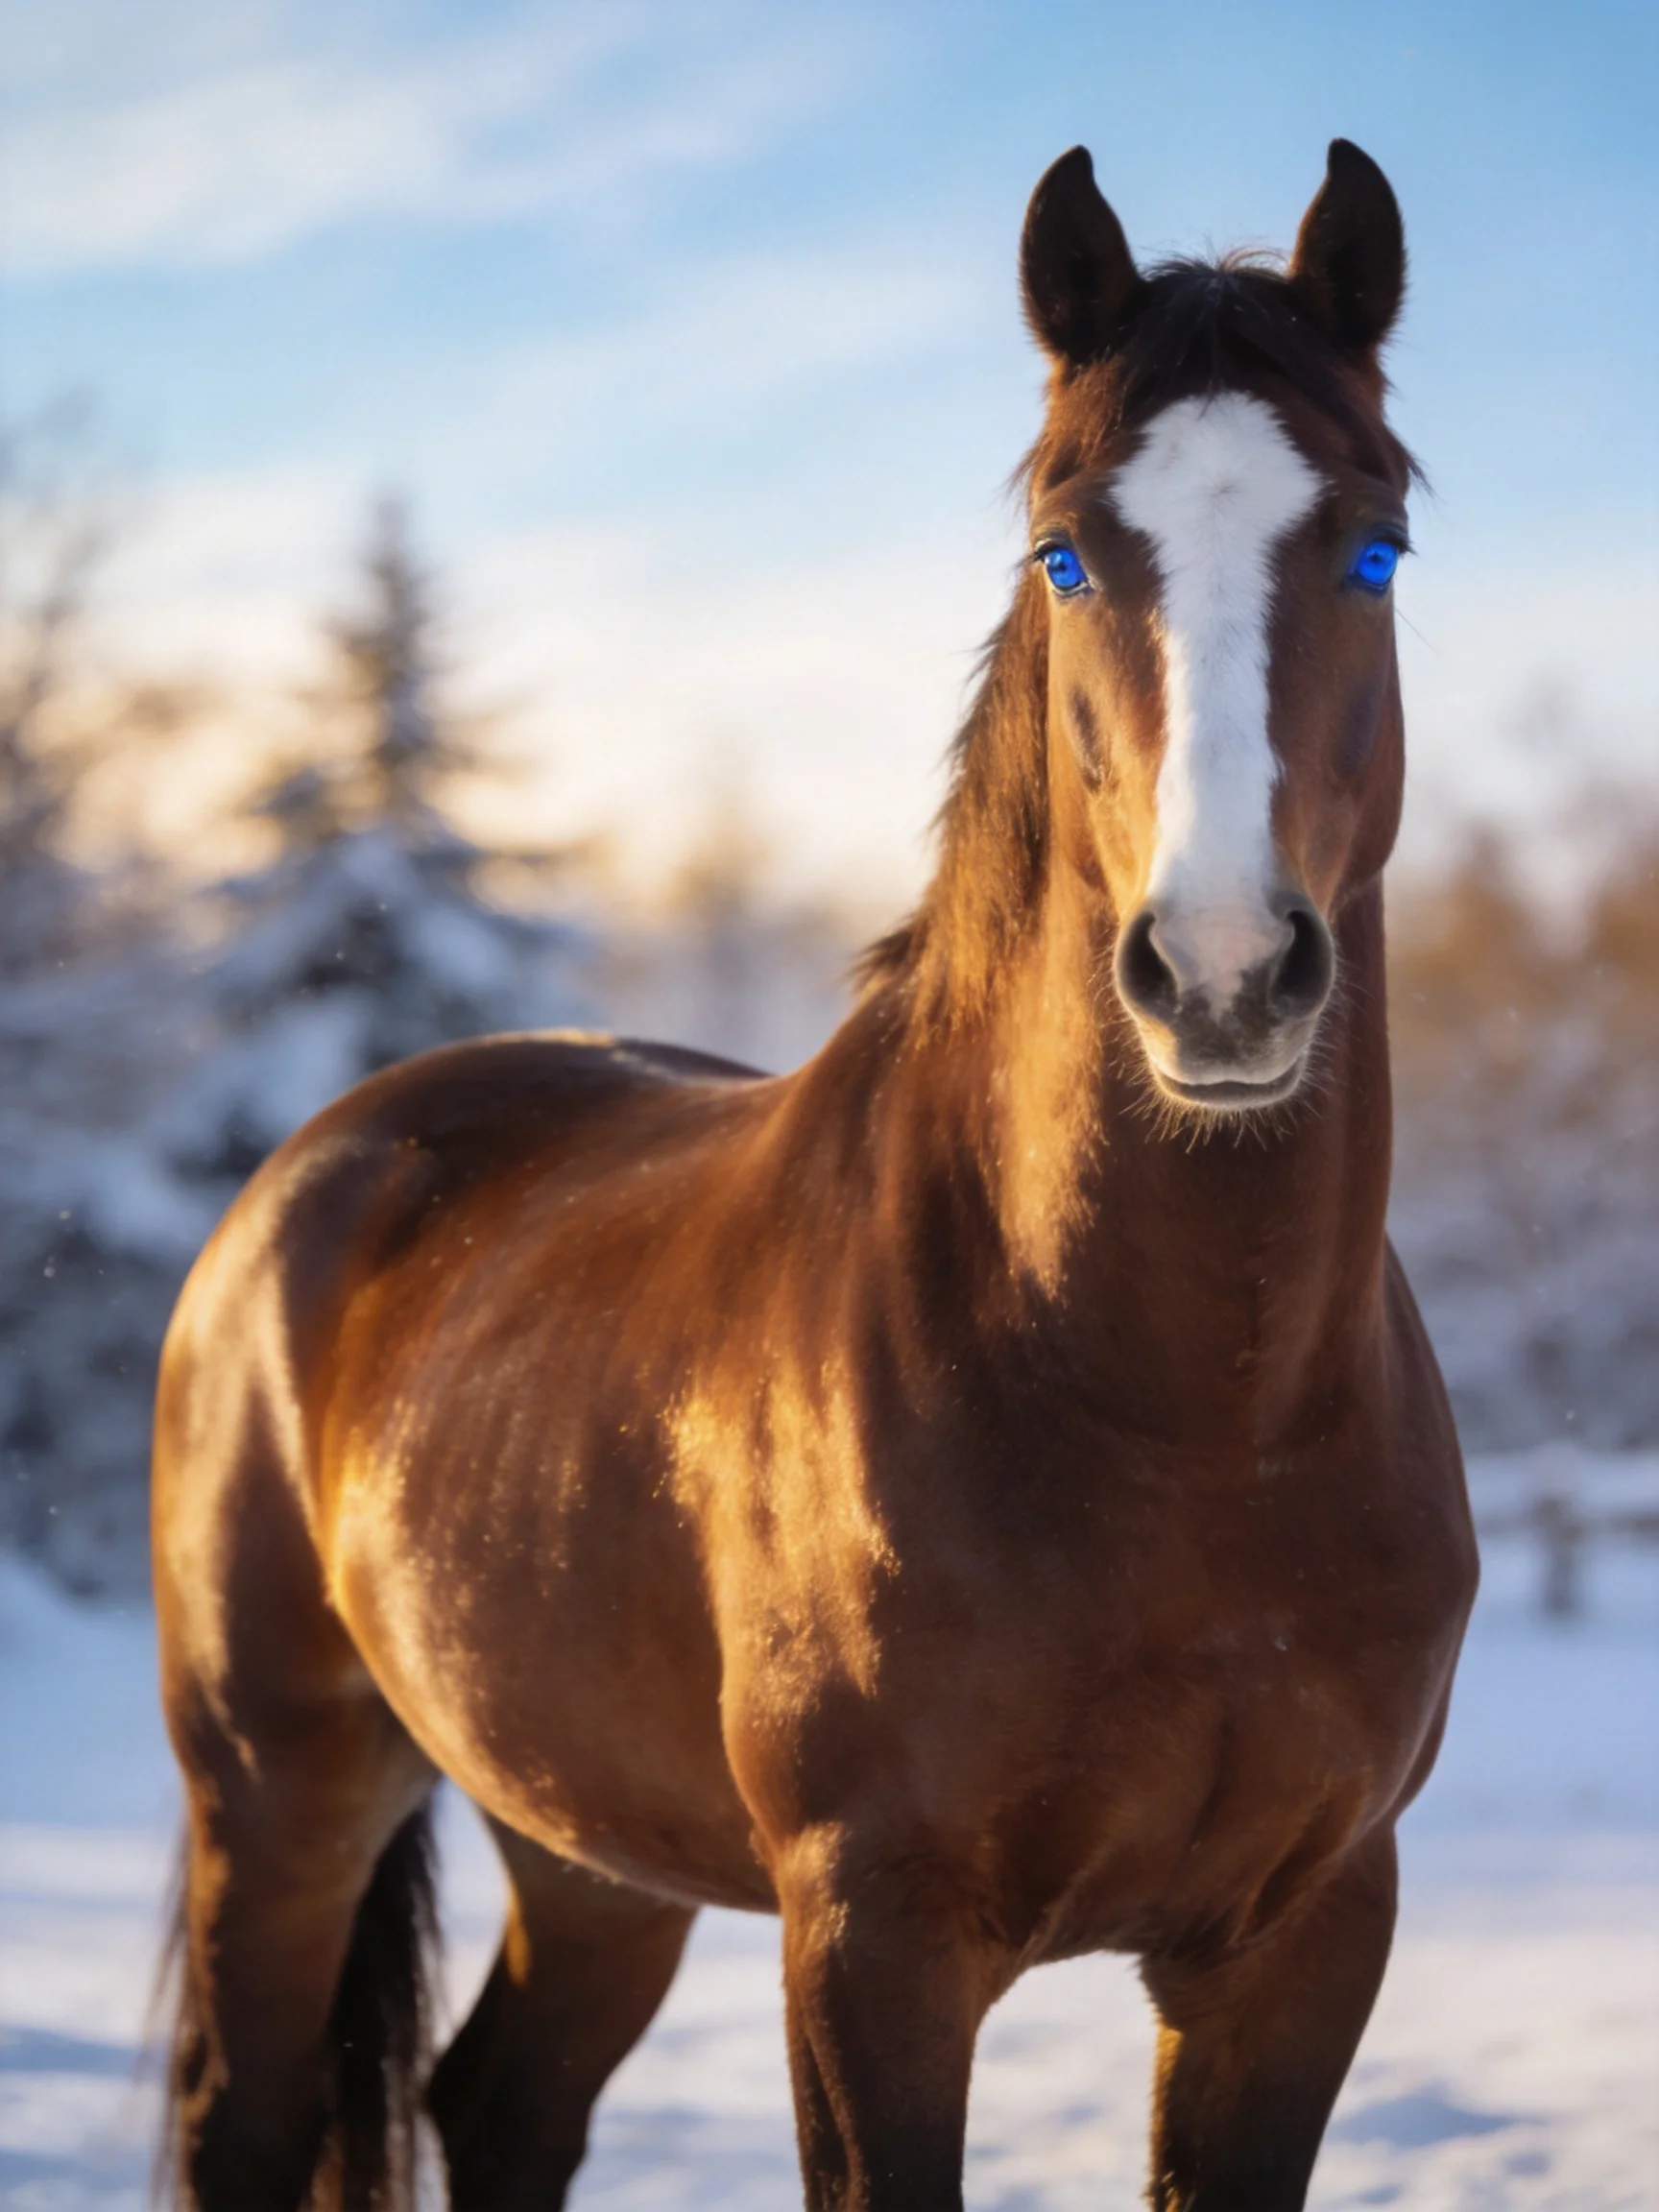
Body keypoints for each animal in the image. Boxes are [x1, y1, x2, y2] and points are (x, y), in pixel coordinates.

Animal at [154, 138, 1477, 2211]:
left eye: (1374, 546)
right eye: (1067, 549)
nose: (1220, 972)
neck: (1192, 1415)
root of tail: (309, 1175)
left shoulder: (1304, 1933)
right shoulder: (873, 1940)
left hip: (586, 1845)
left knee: (500, 2103)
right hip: (278, 1798)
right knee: (255, 2119)